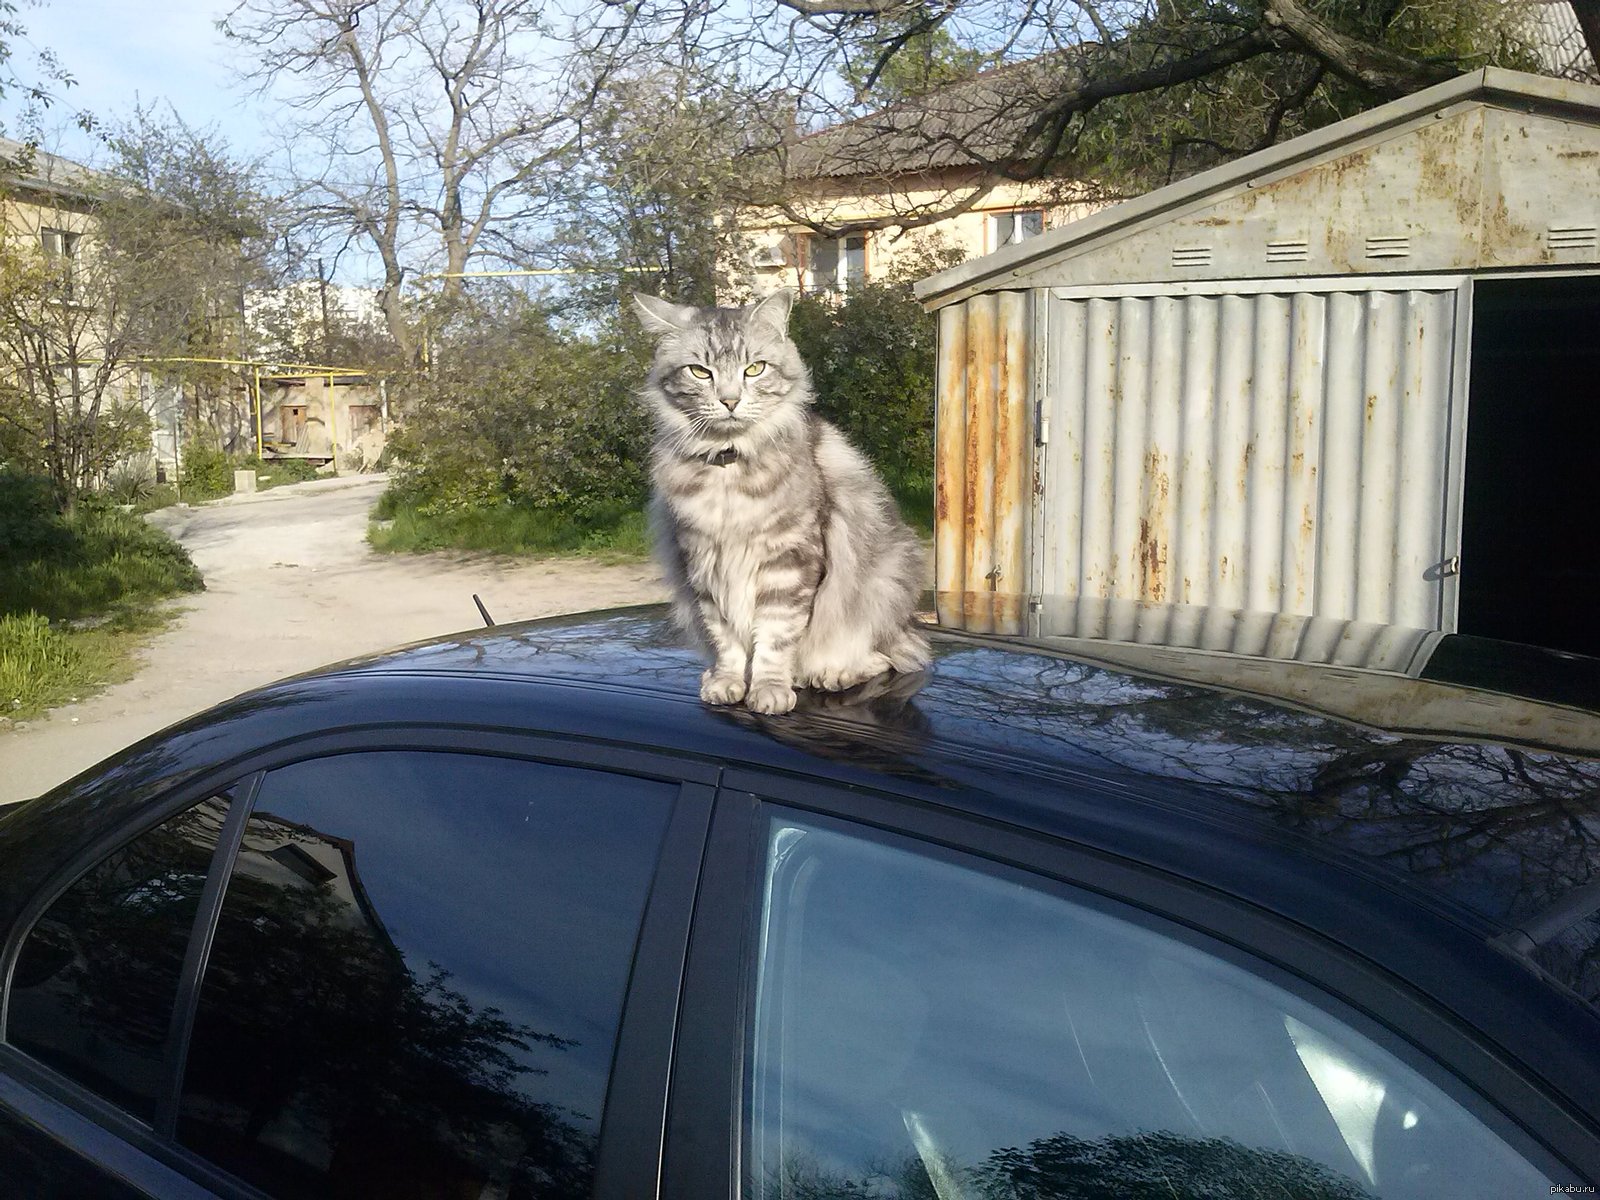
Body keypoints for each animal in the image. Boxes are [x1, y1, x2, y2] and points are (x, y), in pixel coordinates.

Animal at [627, 292, 928, 720]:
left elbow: (774, 635)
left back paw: (831, 673)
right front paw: (728, 682)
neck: (729, 471)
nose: (730, 400)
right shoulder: (703, 562)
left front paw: (769, 690)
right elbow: (726, 638)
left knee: (892, 656)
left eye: (754, 369)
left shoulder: (789, 559)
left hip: (884, 585)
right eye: (700, 372)